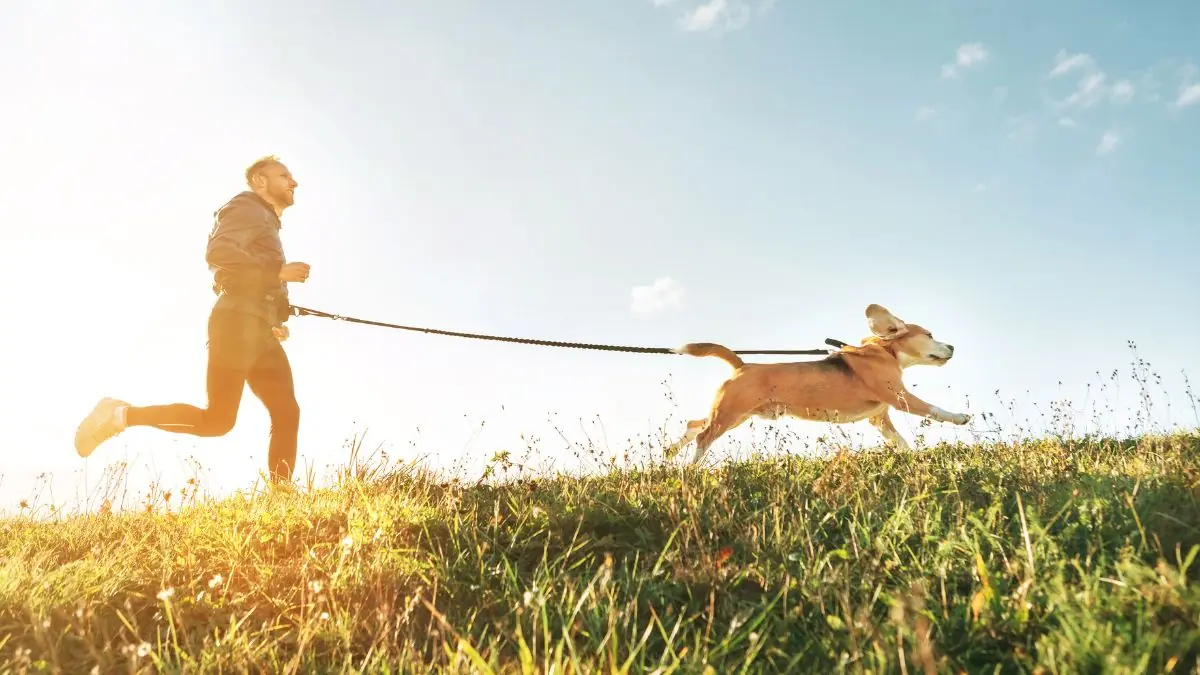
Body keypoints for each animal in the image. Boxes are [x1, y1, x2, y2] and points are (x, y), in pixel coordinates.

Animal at [672, 303, 969, 461]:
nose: (953, 347)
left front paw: (911, 457)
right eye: (929, 335)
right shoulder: (900, 397)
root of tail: (741, 365)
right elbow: (934, 410)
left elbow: (901, 441)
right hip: (730, 413)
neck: (886, 351)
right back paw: (692, 467)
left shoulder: (879, 418)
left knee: (694, 425)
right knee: (703, 437)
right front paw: (960, 417)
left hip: (735, 414)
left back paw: (670, 453)